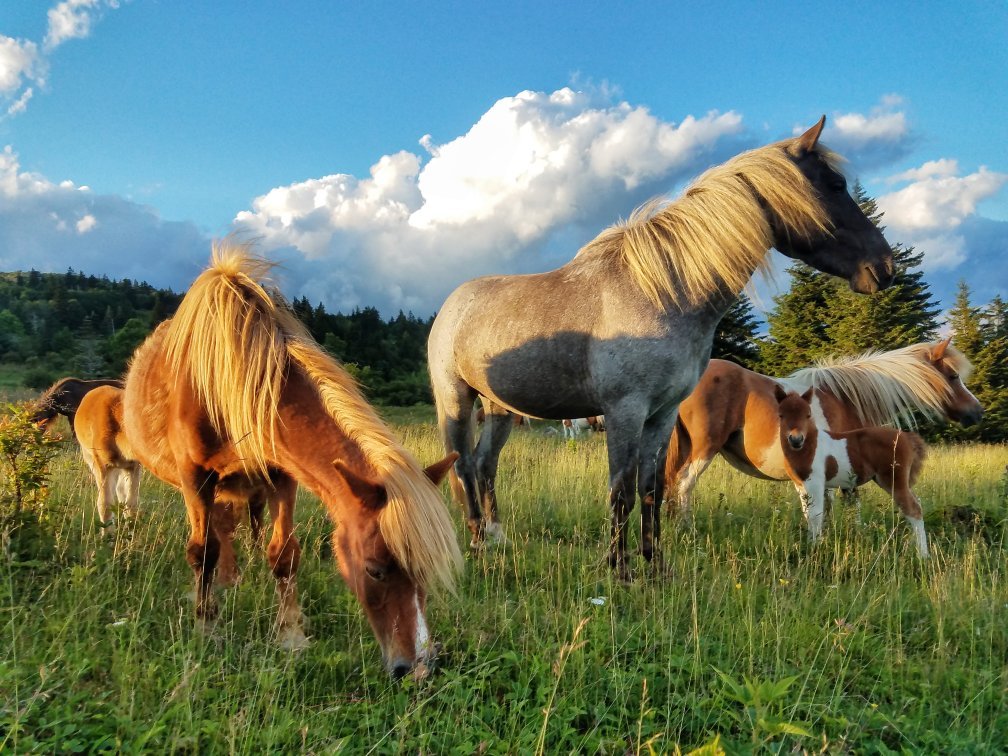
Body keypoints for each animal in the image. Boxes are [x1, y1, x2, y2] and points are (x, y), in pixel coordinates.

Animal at [120, 243, 461, 681]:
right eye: (373, 569)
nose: (418, 668)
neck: (226, 383)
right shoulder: (196, 479)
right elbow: (203, 552)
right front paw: (207, 629)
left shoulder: (282, 477)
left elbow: (283, 554)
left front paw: (291, 636)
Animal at [429, 116, 895, 580]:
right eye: (836, 184)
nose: (884, 267)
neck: (664, 294)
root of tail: (453, 303)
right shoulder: (625, 410)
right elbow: (621, 490)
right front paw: (619, 571)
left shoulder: (663, 413)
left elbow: (651, 488)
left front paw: (655, 567)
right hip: (456, 399)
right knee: (464, 463)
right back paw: (478, 542)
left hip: (500, 409)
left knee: (486, 464)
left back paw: (497, 537)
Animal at [774, 391, 931, 556]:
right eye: (781, 415)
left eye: (808, 415)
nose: (796, 440)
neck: (809, 447)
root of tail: (907, 437)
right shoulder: (800, 484)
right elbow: (807, 514)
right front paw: (811, 544)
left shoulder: (815, 482)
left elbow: (816, 514)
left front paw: (815, 548)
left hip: (894, 480)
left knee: (913, 509)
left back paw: (923, 555)